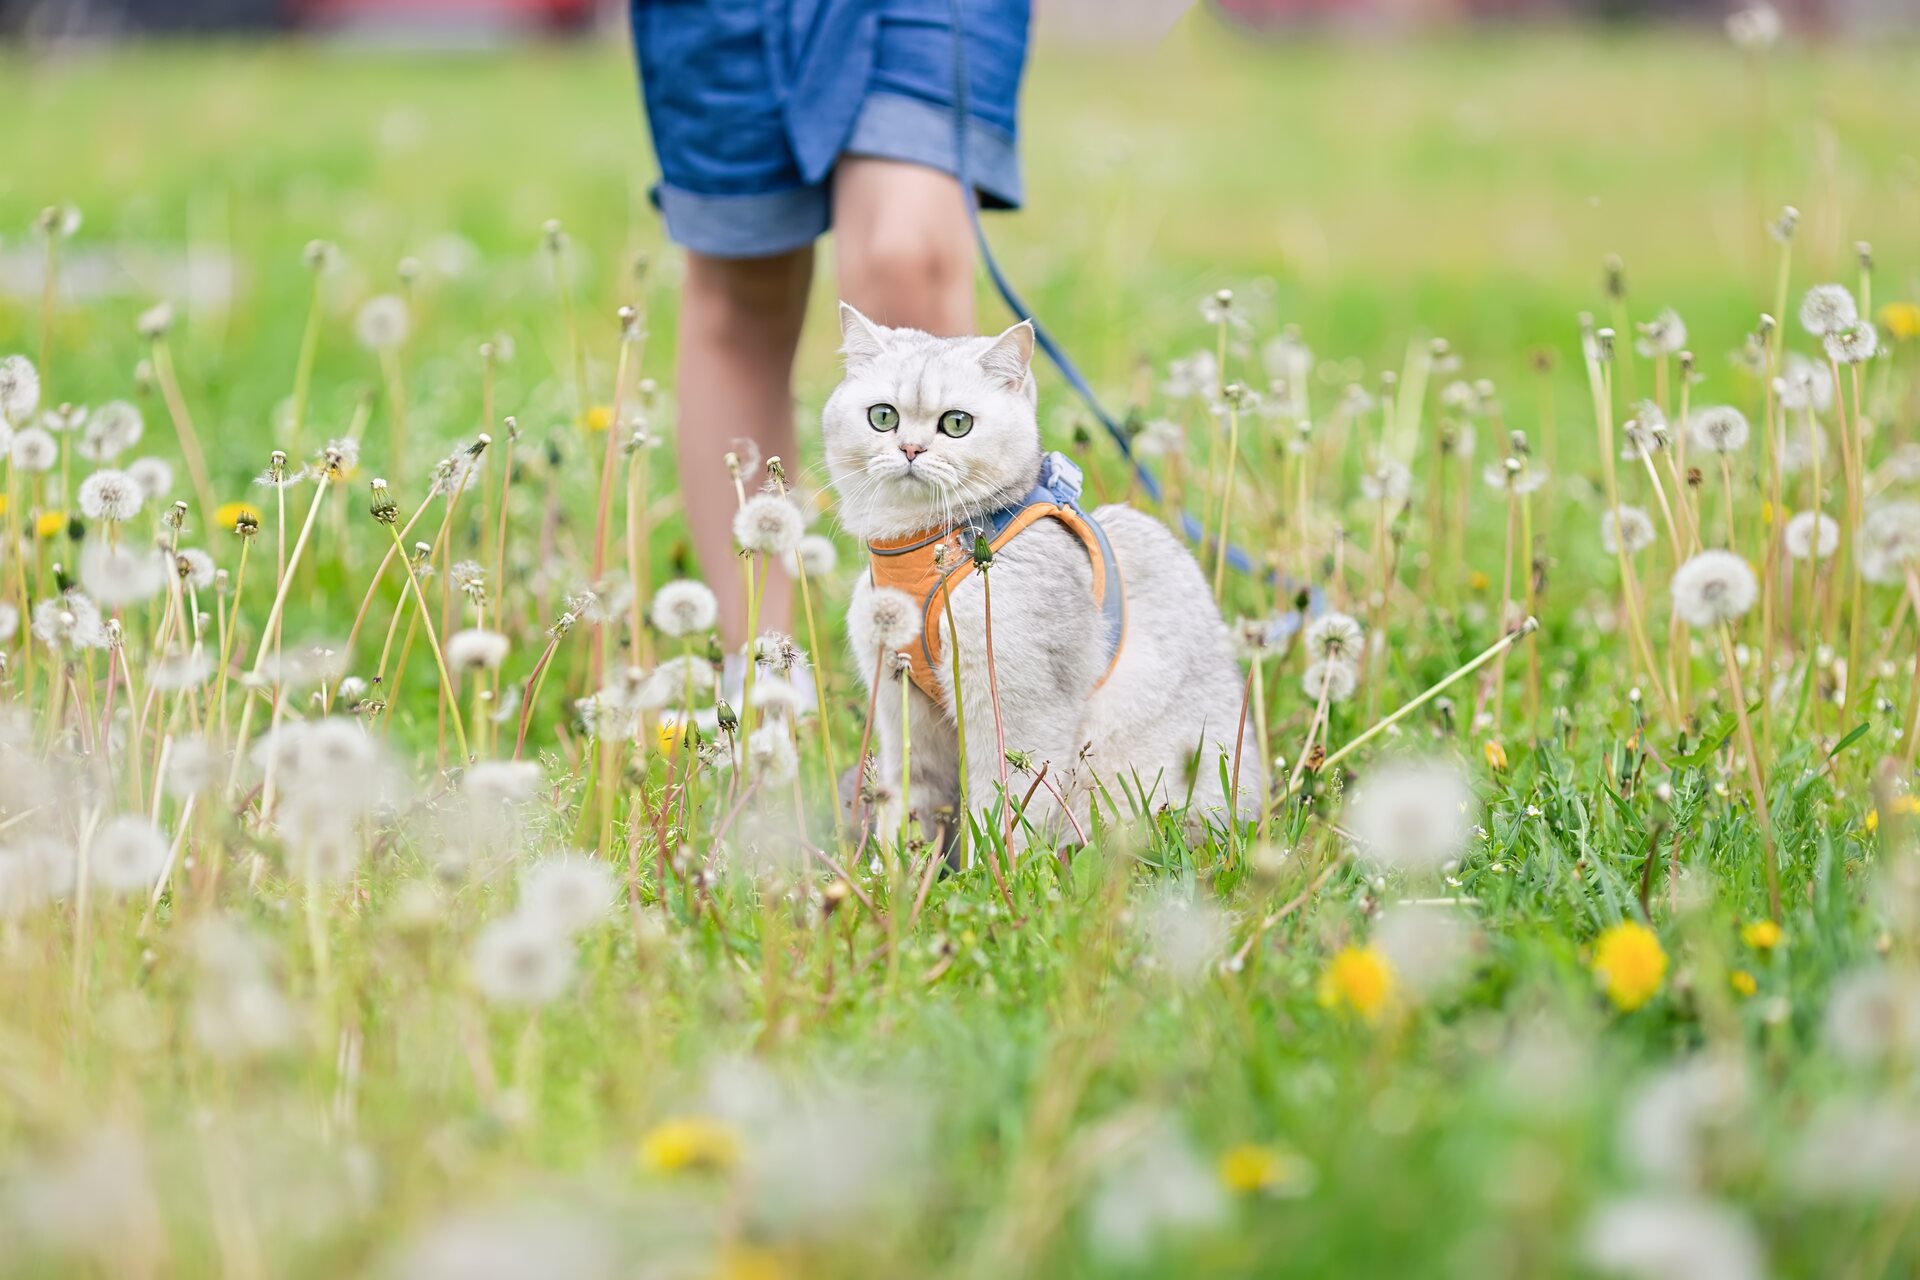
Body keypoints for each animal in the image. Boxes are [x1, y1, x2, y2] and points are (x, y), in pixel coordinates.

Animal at [821, 301, 1259, 852]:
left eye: (956, 424)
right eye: (883, 417)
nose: (910, 450)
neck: (922, 549)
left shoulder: (1019, 711)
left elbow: (1002, 813)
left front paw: (987, 872)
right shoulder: (905, 713)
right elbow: (909, 812)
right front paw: (901, 871)